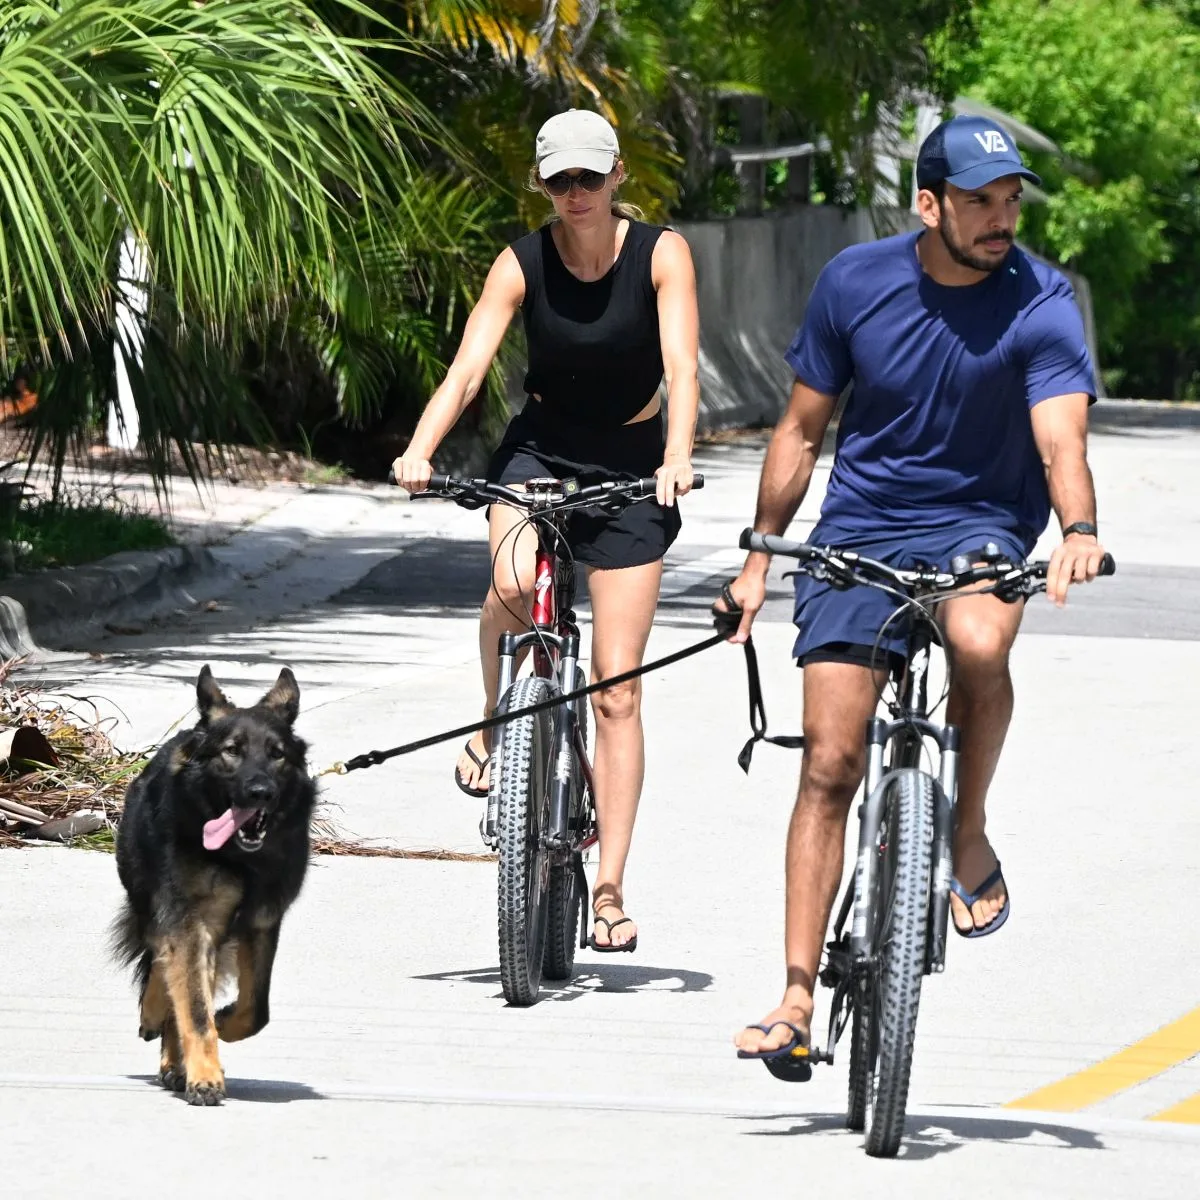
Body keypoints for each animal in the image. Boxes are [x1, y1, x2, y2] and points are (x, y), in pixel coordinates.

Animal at [111, 667, 314, 1104]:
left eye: (277, 754)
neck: (239, 859)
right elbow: (195, 1009)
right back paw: (157, 1021)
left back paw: (175, 1061)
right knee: (159, 959)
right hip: (153, 903)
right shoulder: (190, 923)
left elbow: (255, 1010)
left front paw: (222, 1027)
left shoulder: (260, 923)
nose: (260, 792)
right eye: (232, 751)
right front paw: (205, 1075)